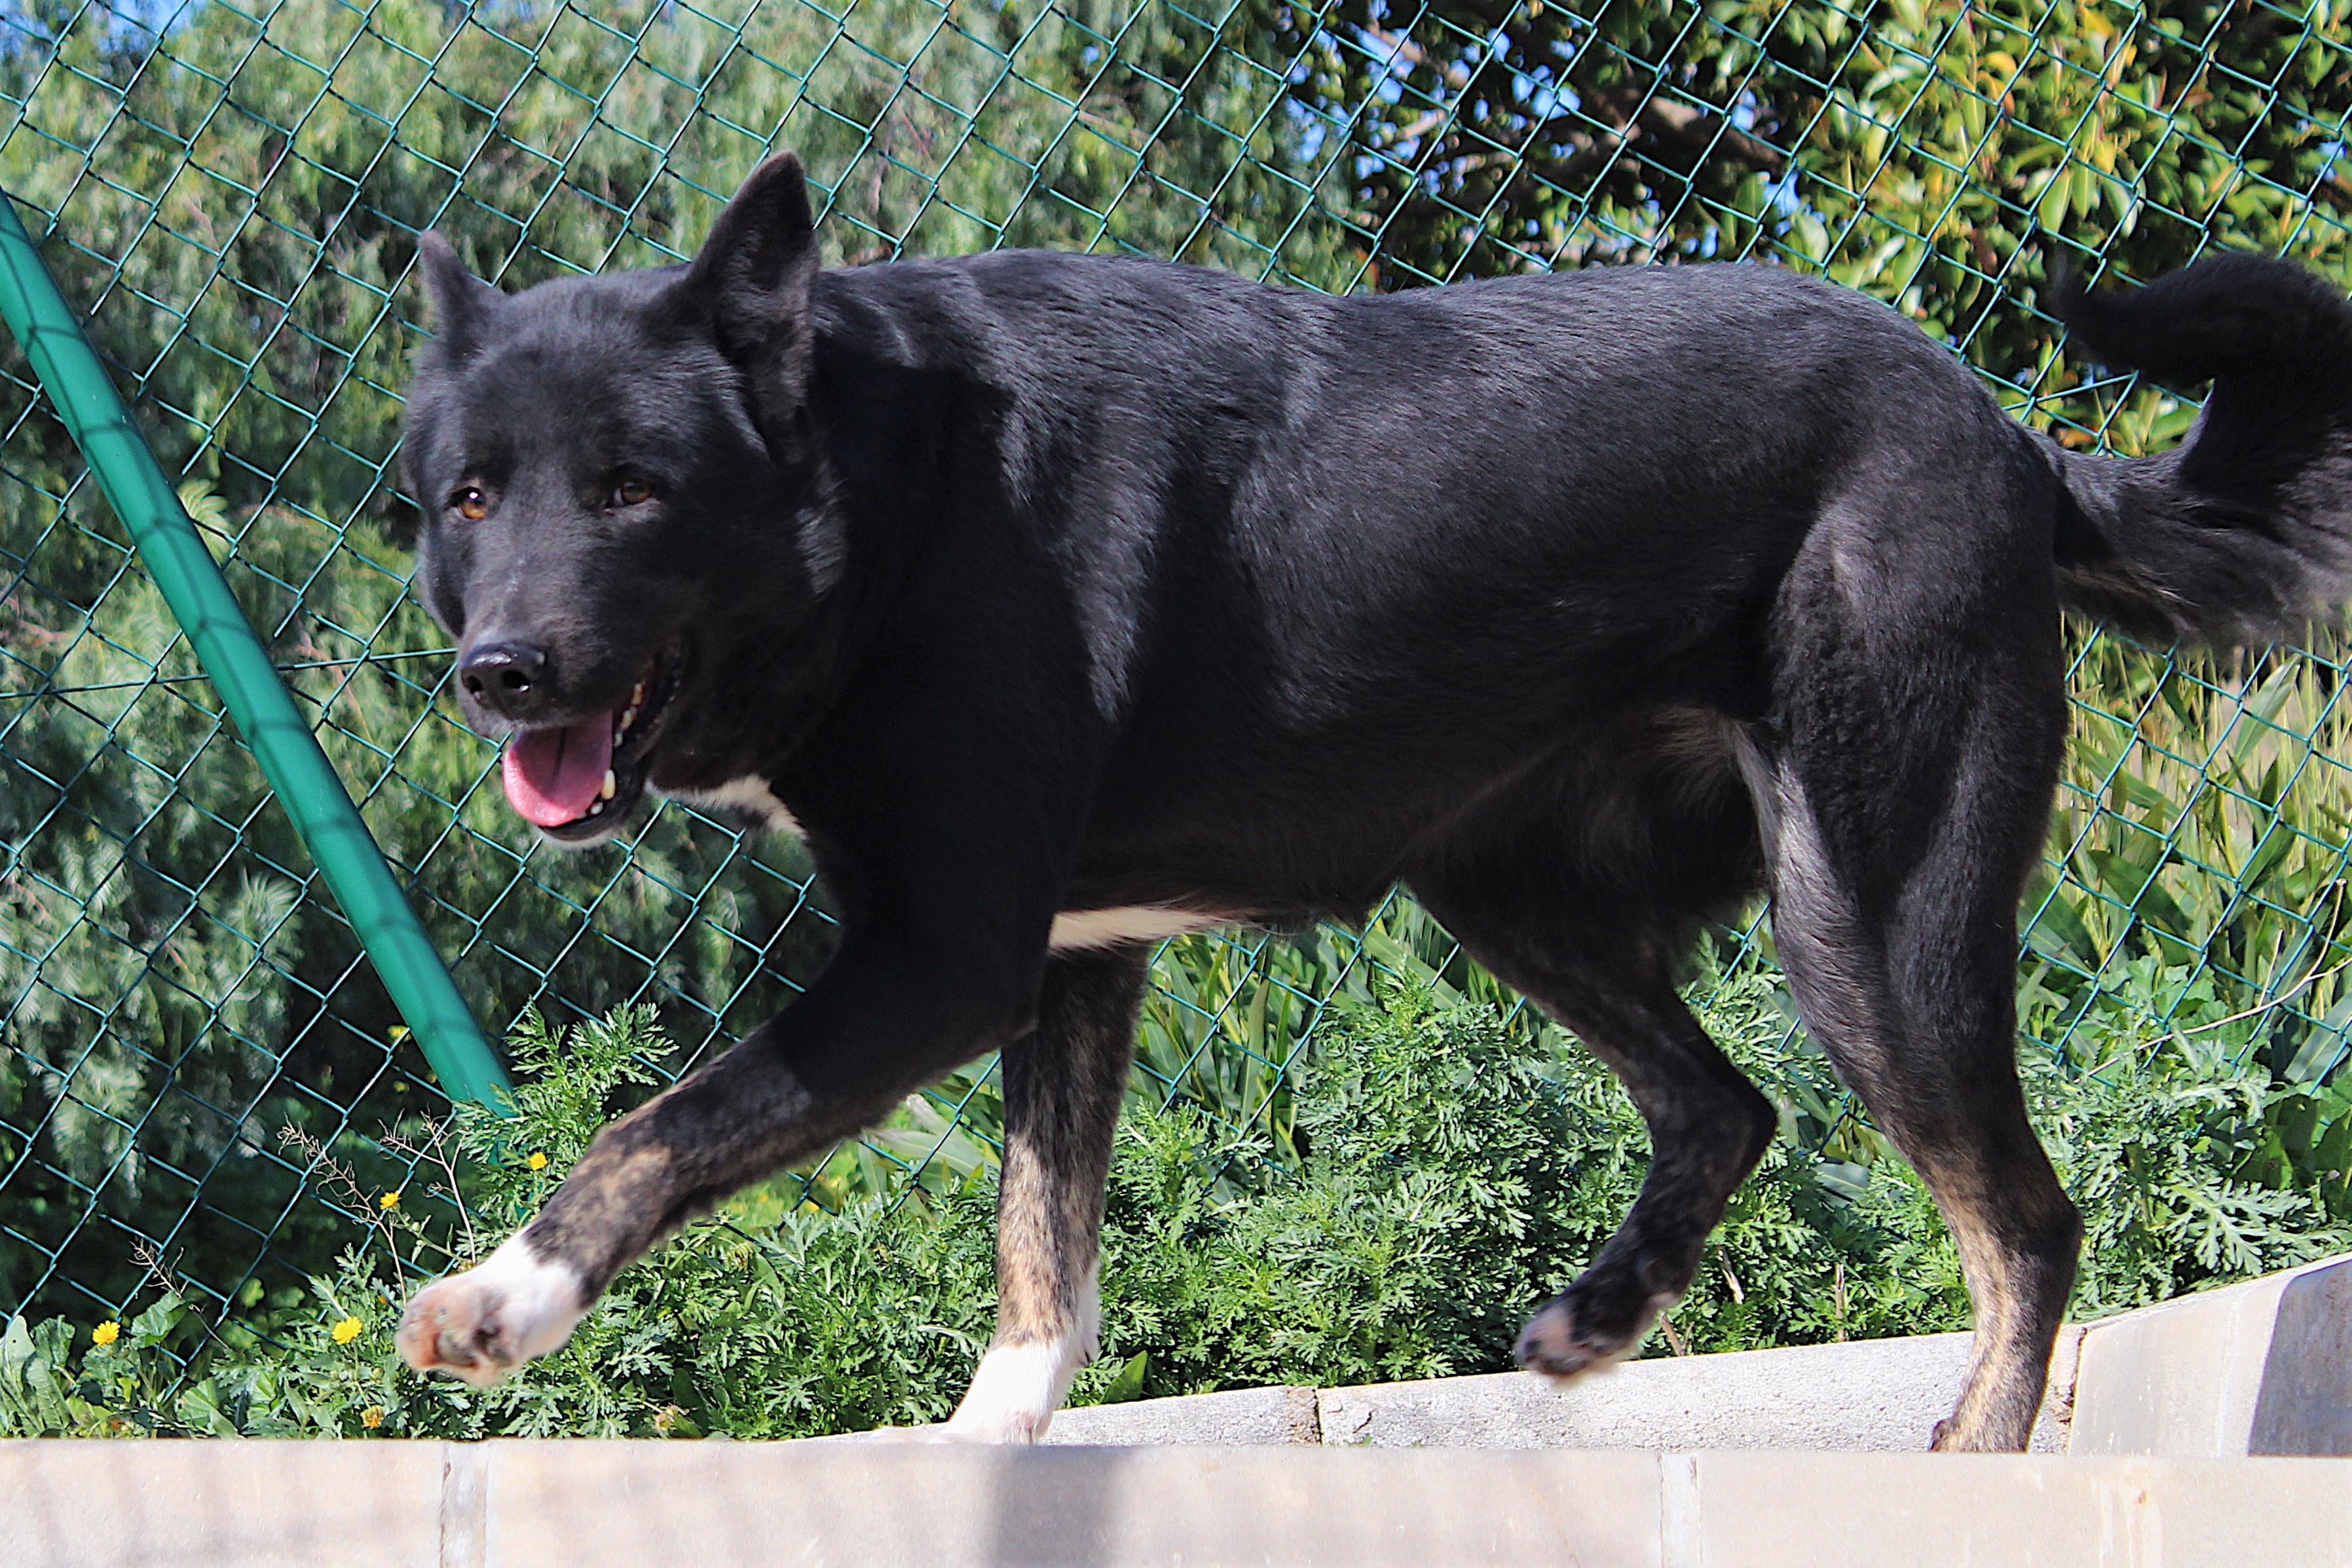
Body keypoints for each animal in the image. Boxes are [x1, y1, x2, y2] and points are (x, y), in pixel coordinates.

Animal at [390, 153, 2352, 1457]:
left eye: (634, 490)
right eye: (472, 496)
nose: (498, 674)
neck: (896, 498)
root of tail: (2009, 436)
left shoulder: (944, 962)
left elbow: (654, 1128)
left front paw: (504, 1298)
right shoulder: (1068, 965)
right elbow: (1043, 1264)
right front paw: (978, 1460)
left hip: (1871, 917)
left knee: (2022, 1222)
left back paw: (1968, 1464)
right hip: (1507, 889)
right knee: (1725, 1111)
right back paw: (1600, 1317)